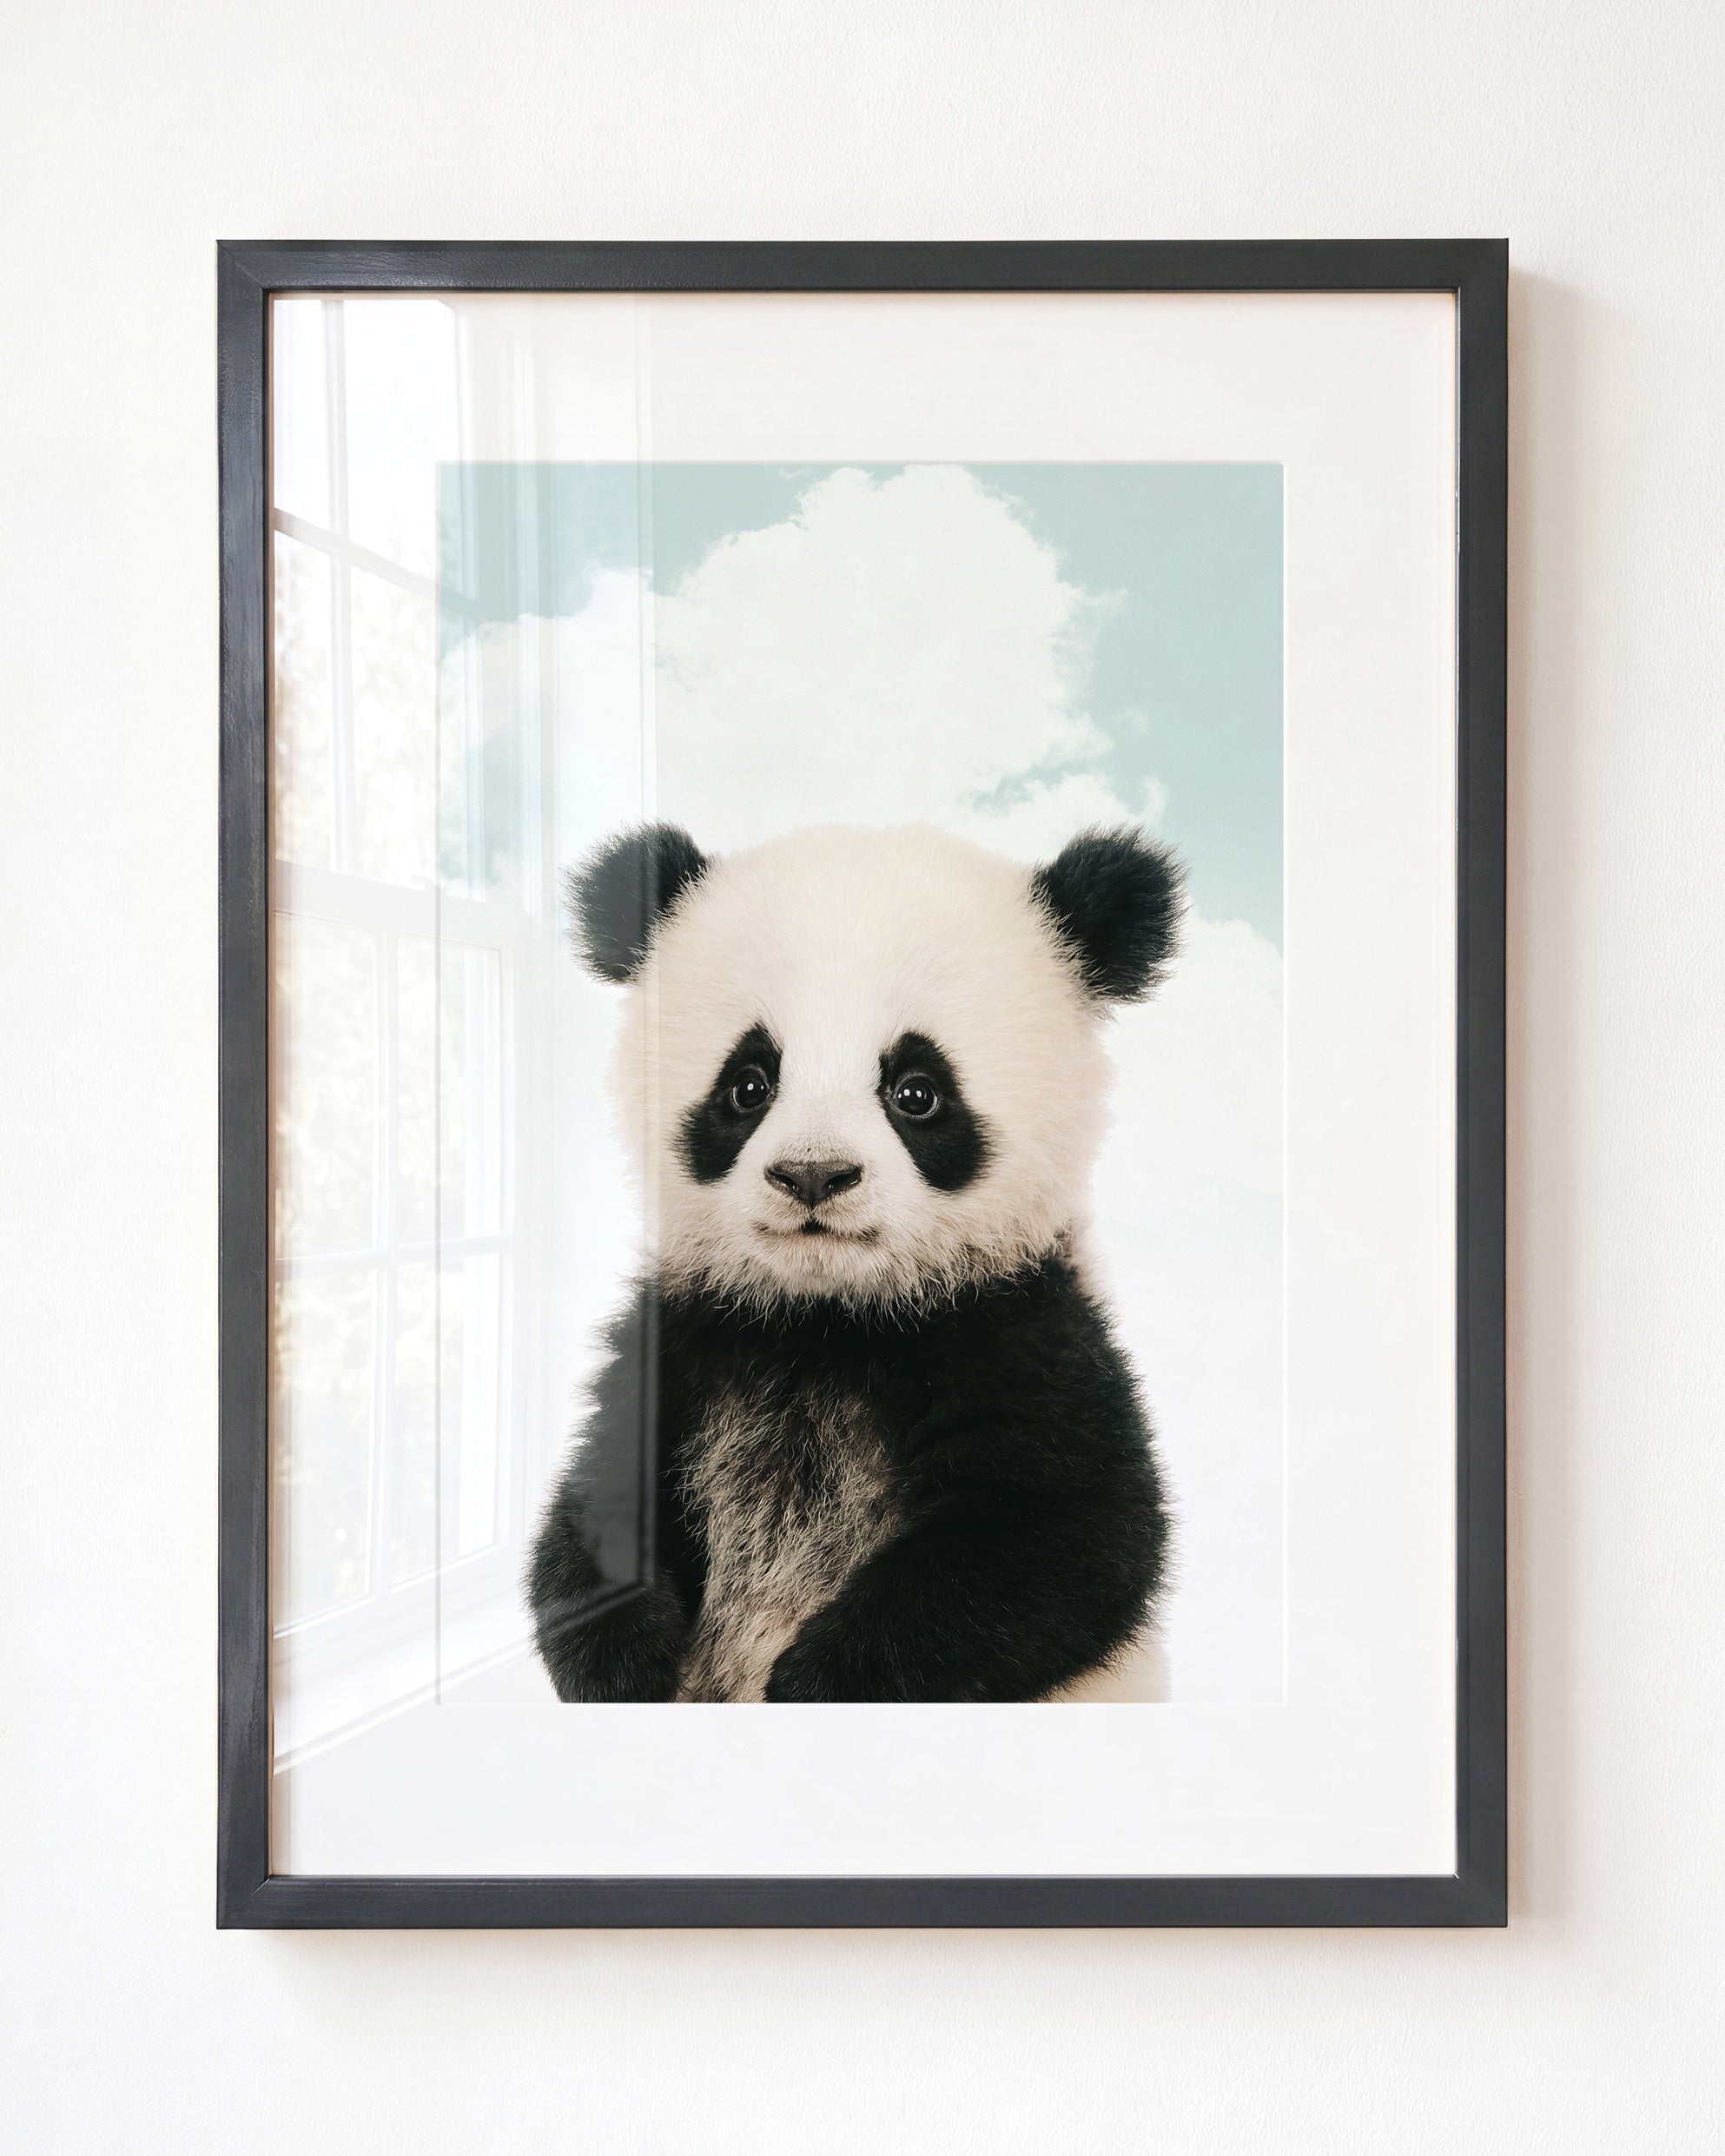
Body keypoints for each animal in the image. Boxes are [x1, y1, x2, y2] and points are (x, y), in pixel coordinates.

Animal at [528, 818, 1182, 1704]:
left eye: (917, 1091)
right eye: (748, 1084)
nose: (814, 1174)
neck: (828, 1318)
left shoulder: (1023, 1332)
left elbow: (1068, 1537)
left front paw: (816, 1682)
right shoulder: (683, 1336)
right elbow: (594, 1506)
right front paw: (623, 1662)